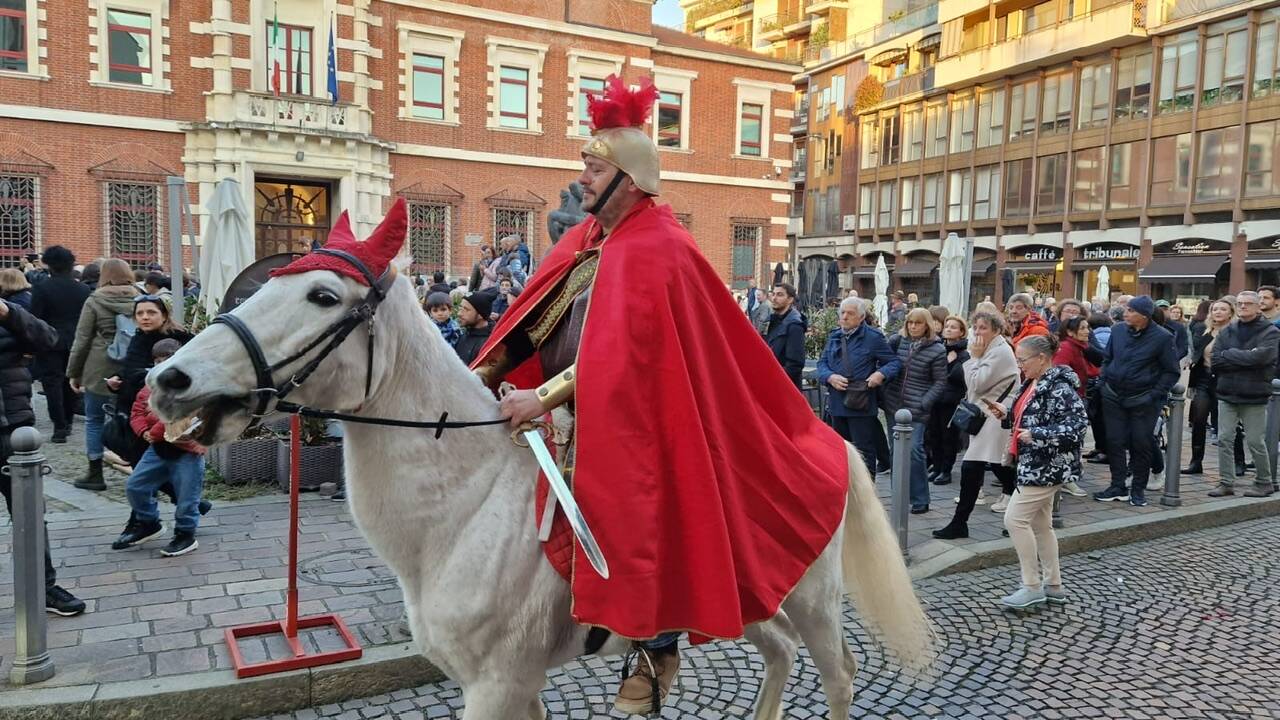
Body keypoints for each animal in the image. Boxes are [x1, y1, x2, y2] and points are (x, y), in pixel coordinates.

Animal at [147, 256, 931, 712]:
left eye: (320, 295)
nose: (168, 379)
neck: (462, 508)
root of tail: (826, 438)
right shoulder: (508, 682)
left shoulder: (496, 683)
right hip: (751, 597)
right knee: (779, 656)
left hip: (814, 598)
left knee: (839, 673)